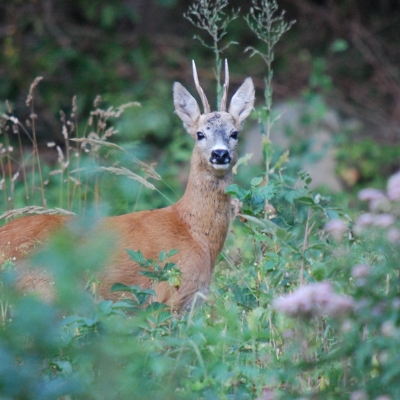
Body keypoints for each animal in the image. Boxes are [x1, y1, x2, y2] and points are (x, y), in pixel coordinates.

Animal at [0, 61, 255, 310]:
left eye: (234, 133)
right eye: (200, 134)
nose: (220, 154)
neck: (194, 232)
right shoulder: (171, 296)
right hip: (43, 292)